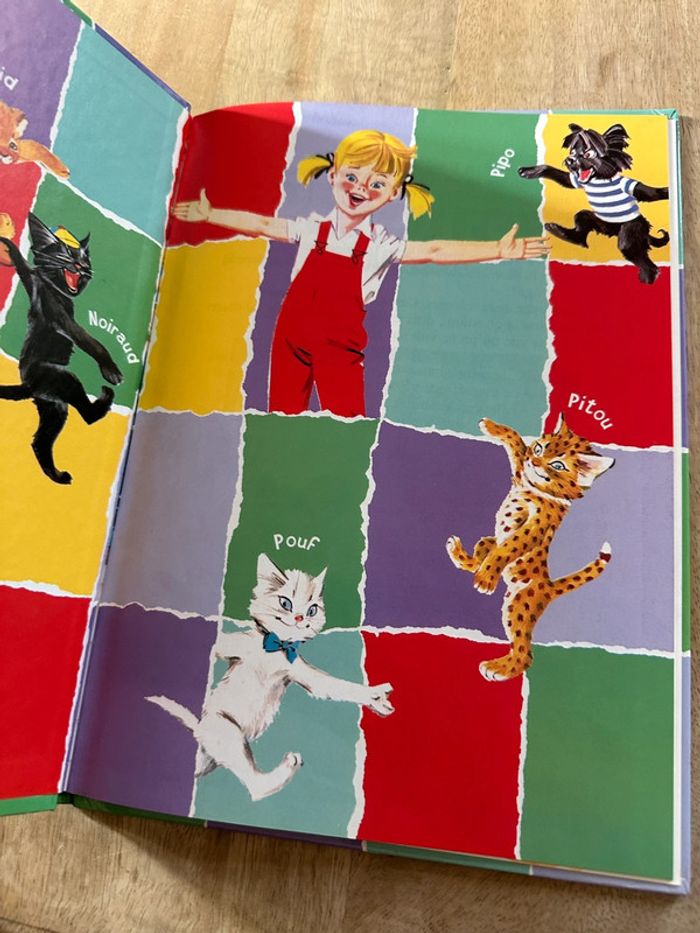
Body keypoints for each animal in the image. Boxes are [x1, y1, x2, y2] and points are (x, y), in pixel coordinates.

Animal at [0, 212, 123, 484]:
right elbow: (92, 342)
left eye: (86, 259)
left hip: (54, 407)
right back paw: (105, 398)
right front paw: (111, 370)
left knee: (40, 442)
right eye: (67, 253)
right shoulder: (62, 317)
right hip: (63, 379)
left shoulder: (32, 279)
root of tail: (29, 386)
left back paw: (57, 475)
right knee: (87, 416)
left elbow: (23, 267)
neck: (53, 286)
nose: (83, 267)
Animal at [147, 553, 395, 801]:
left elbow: (332, 685)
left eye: (312, 610)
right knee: (257, 789)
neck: (276, 648)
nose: (299, 617)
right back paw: (286, 767)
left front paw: (374, 697)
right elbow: (214, 646)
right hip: (224, 727)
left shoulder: (300, 671)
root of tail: (200, 738)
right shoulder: (236, 646)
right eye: (286, 603)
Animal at [446, 416, 614, 681]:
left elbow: (510, 546)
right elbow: (516, 443)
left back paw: (499, 667)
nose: (534, 462)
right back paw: (459, 553)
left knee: (525, 652)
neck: (535, 488)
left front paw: (486, 579)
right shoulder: (519, 473)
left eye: (558, 464)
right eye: (538, 449)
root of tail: (549, 585)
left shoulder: (536, 527)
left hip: (518, 604)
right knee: (483, 550)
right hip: (488, 542)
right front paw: (492, 427)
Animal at [519, 123, 669, 284]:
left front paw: (668, 190)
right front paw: (530, 171)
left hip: (633, 228)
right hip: (594, 220)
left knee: (633, 251)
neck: (599, 180)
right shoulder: (574, 181)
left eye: (588, 154)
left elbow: (650, 193)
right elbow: (557, 173)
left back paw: (648, 277)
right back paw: (560, 232)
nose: (570, 160)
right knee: (581, 224)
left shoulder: (629, 185)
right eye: (572, 152)